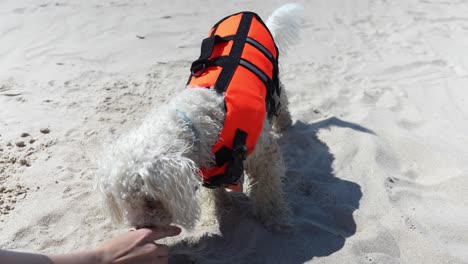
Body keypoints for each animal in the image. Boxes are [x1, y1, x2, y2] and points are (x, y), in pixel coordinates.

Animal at [96, 3, 304, 231]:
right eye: (125, 202)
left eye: (150, 200)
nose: (141, 228)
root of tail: (247, 14)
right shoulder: (206, 168)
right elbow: (213, 193)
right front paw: (215, 212)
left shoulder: (264, 155)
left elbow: (269, 190)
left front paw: (275, 218)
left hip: (273, 87)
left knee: (281, 99)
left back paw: (284, 123)